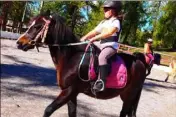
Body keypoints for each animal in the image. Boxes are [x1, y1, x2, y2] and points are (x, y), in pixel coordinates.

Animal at [16, 10, 146, 116]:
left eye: (37, 26)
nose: (19, 43)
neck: (71, 58)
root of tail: (139, 62)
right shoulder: (72, 94)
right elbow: (72, 113)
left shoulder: (69, 91)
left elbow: (48, 110)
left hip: (129, 95)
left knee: (124, 112)